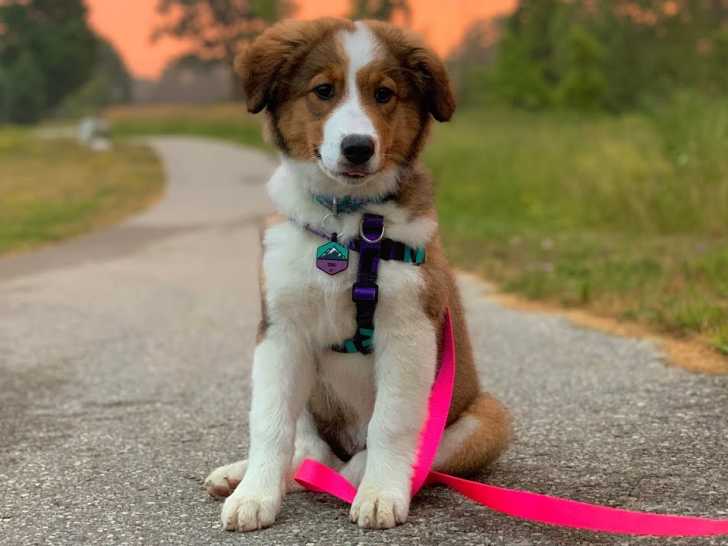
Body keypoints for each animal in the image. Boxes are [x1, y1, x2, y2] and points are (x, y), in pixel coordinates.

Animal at [204, 17, 512, 532]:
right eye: (323, 90)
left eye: (384, 94)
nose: (357, 147)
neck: (345, 224)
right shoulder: (280, 332)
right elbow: (269, 422)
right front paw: (255, 494)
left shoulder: (409, 331)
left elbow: (391, 423)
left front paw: (381, 493)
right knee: (309, 452)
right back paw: (250, 474)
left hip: (489, 416)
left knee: (366, 458)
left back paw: (358, 477)